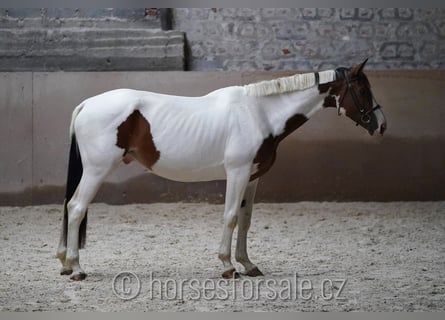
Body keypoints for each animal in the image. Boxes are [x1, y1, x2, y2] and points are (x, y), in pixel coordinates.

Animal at [57, 59, 386, 280]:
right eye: (361, 88)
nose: (381, 125)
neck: (260, 113)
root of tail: (87, 104)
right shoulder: (237, 173)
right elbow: (230, 217)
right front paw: (228, 267)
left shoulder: (252, 177)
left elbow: (246, 220)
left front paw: (248, 264)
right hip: (97, 170)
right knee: (76, 208)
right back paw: (77, 268)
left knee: (70, 206)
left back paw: (64, 263)